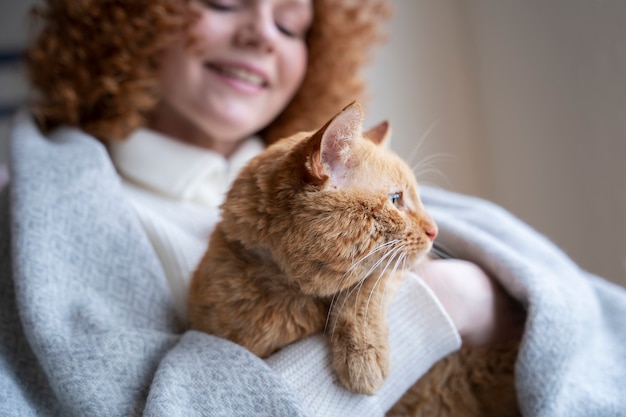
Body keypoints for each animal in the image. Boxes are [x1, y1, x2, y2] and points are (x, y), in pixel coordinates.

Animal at [186, 102, 516, 414]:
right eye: (396, 199)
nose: (434, 230)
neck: (288, 294)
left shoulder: (392, 270)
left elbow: (362, 291)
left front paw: (362, 354)